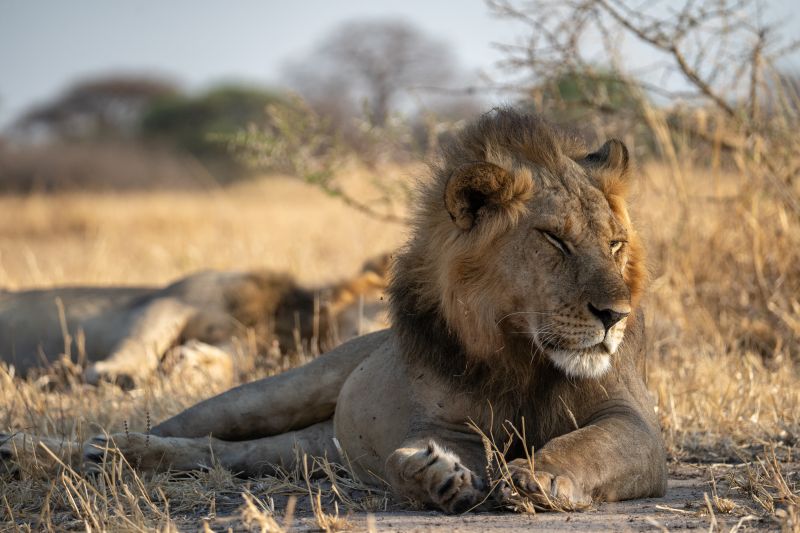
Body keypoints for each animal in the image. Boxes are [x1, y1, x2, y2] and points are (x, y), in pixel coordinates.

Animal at [0, 254, 390, 386]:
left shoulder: (239, 341)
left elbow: (229, 361)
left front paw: (193, 366)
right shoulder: (172, 299)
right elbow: (141, 344)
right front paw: (117, 373)